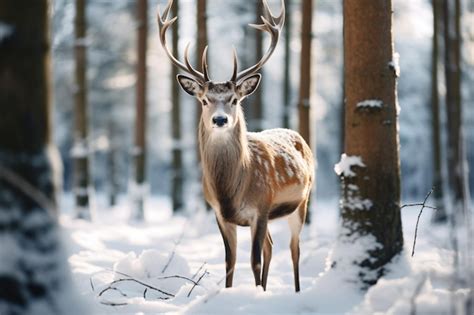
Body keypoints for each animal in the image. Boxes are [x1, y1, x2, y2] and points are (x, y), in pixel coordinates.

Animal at [159, 0, 314, 294]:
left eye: (234, 99)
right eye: (205, 100)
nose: (220, 119)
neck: (230, 190)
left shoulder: (261, 207)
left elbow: (253, 261)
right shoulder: (220, 214)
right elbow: (229, 260)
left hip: (301, 201)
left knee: (294, 249)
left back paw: (297, 290)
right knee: (271, 246)